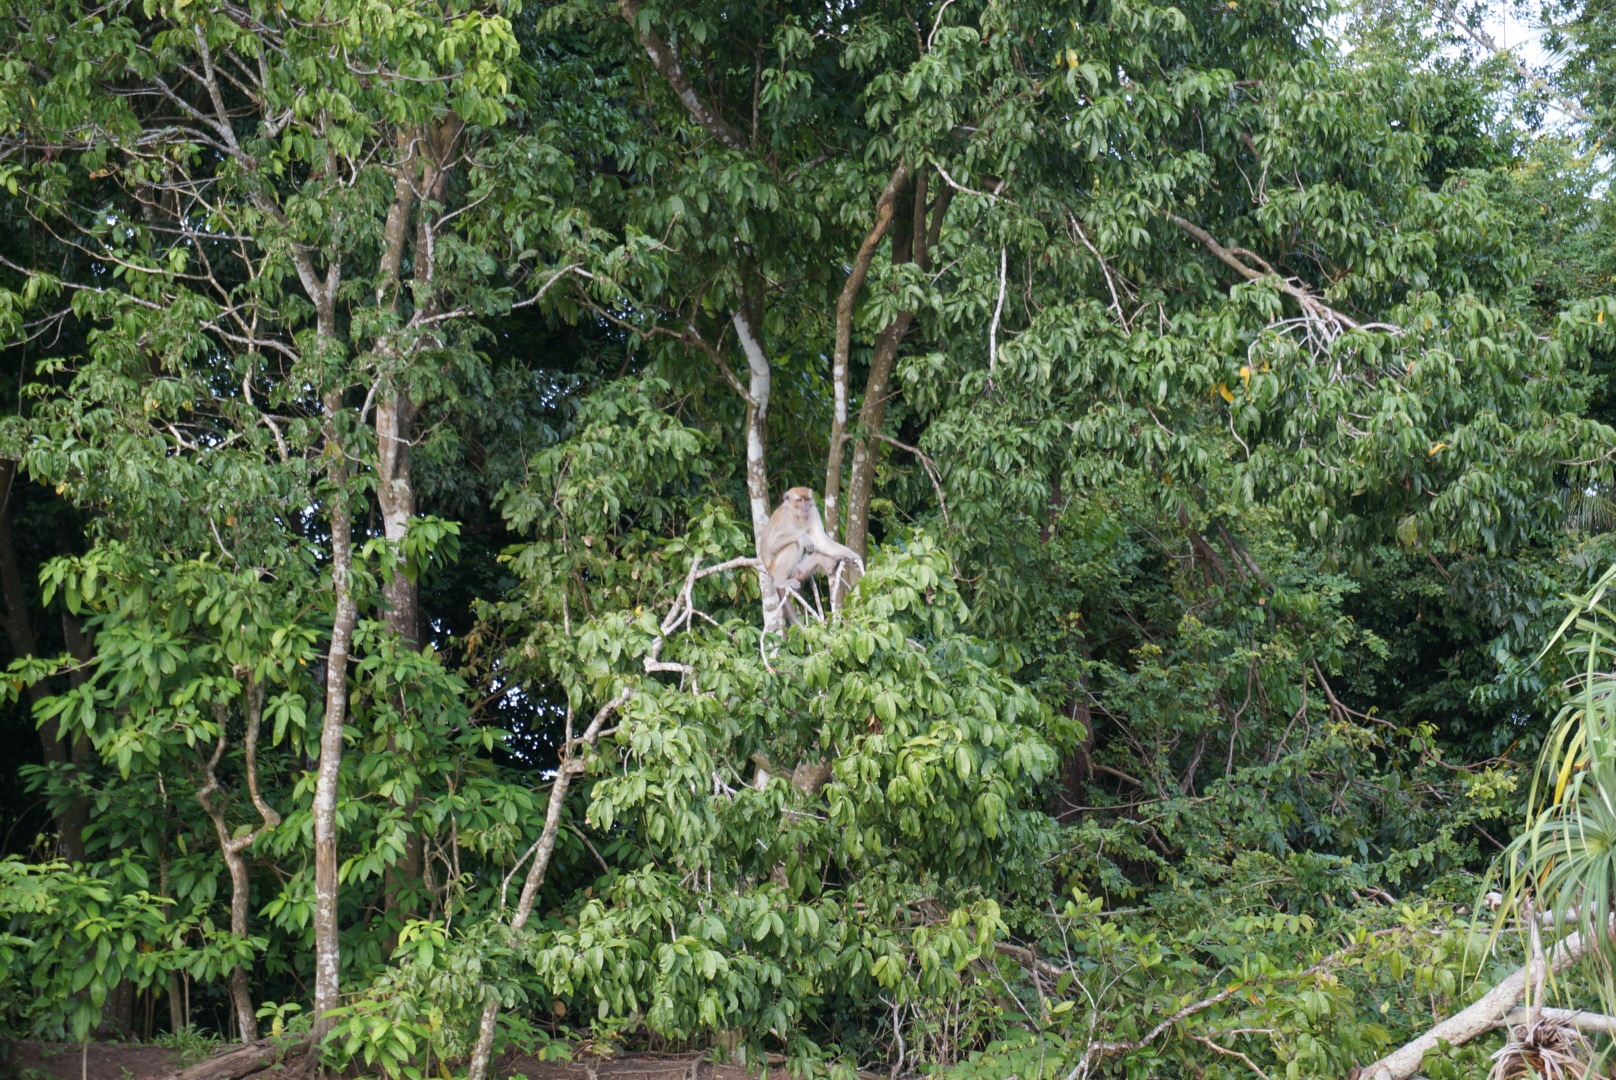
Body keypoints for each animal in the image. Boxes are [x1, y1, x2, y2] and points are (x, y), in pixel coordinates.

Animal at [759, 488, 866, 627]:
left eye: (807, 500)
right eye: (799, 500)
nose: (805, 509)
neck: (796, 517)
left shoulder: (813, 511)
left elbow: (821, 542)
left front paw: (852, 555)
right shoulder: (784, 517)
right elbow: (769, 548)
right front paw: (803, 537)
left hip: (797, 570)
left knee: (815, 554)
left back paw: (831, 567)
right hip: (774, 568)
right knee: (793, 545)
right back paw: (780, 582)